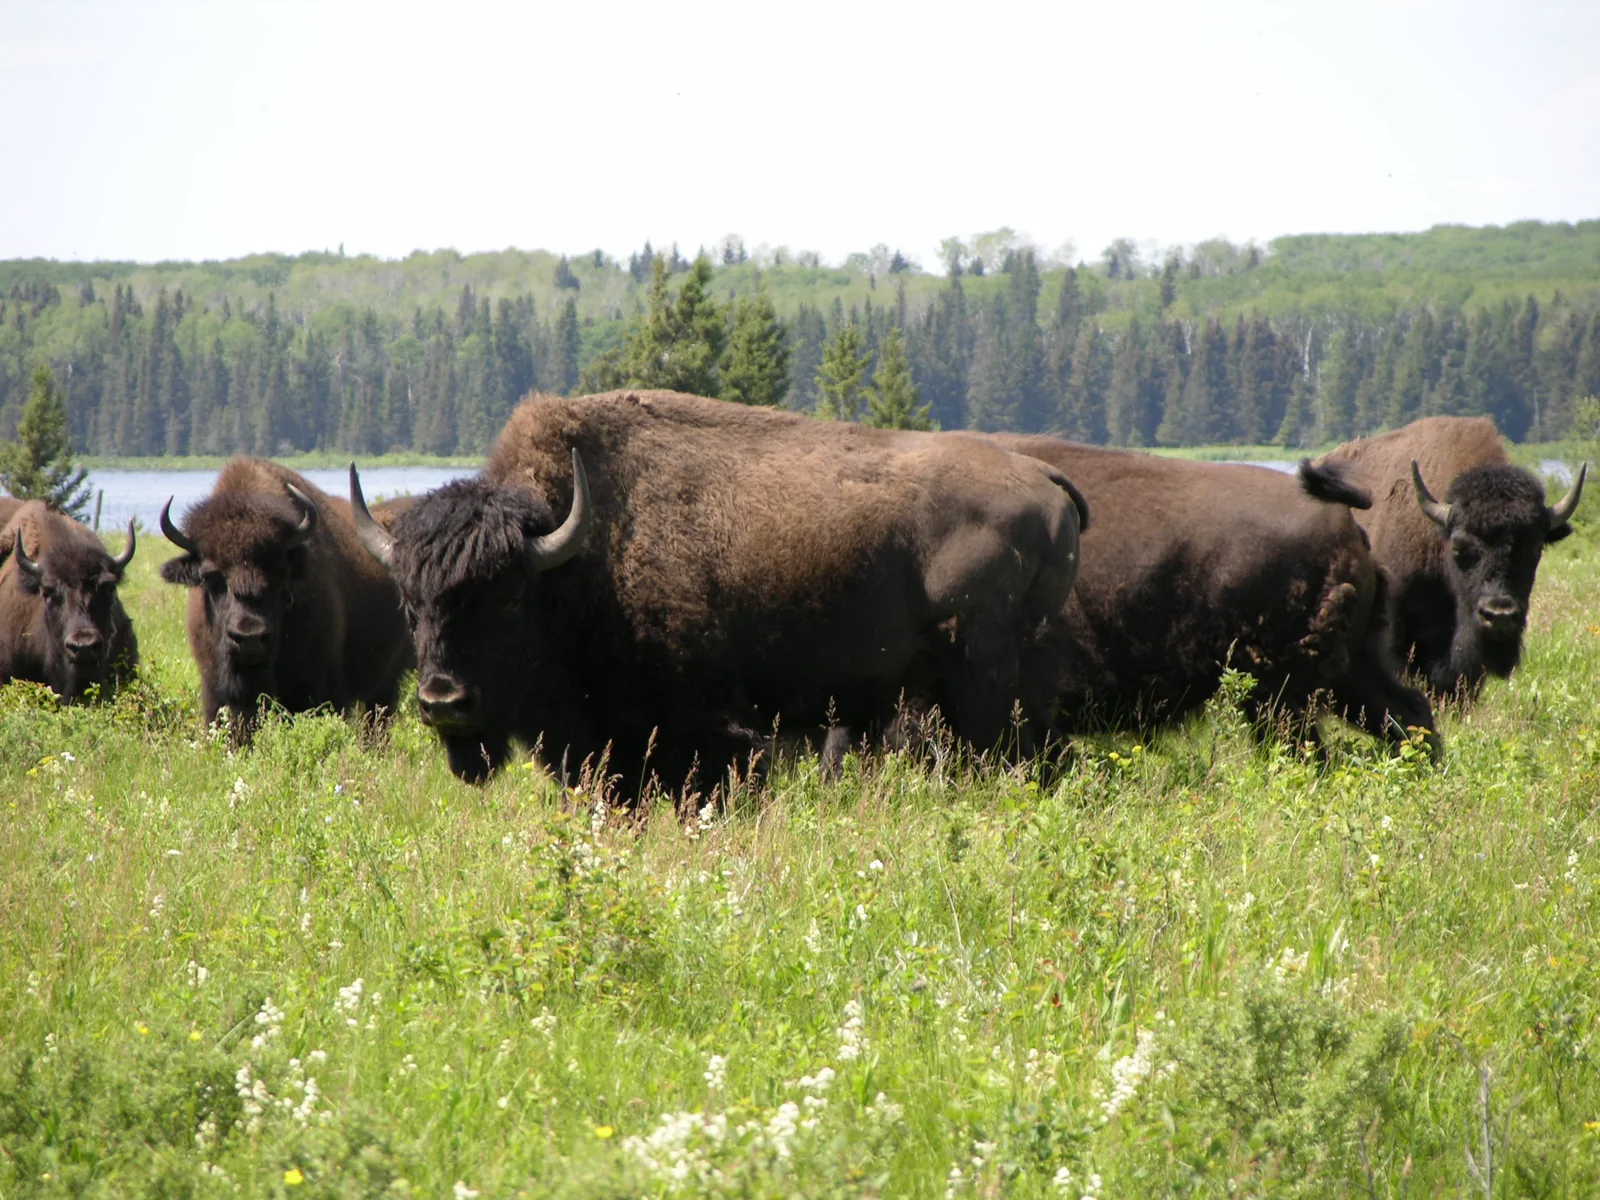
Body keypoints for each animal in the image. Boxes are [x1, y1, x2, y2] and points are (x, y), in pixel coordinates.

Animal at [350, 389, 1088, 790]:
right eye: (410, 604)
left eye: (507, 599)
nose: (444, 703)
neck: (576, 556)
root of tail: (1042, 477)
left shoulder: (709, 738)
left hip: (987, 688)